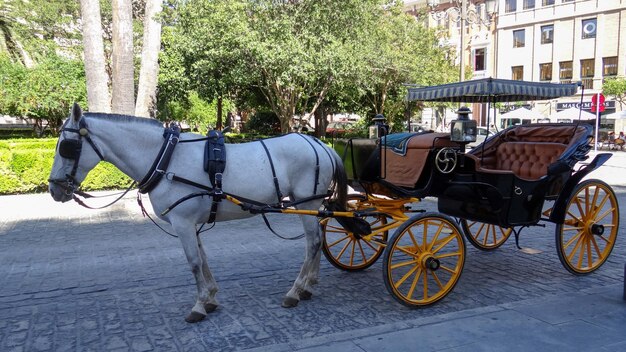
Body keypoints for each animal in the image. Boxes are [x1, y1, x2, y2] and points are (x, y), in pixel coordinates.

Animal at [50, 103, 346, 324]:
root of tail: (322, 145)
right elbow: (202, 259)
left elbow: (193, 262)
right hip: (307, 203)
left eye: (66, 146)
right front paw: (212, 297)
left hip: (307, 202)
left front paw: (199, 304)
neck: (166, 159)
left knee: (313, 242)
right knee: (316, 239)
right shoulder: (191, 223)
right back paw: (309, 286)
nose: (54, 188)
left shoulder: (182, 222)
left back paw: (296, 290)